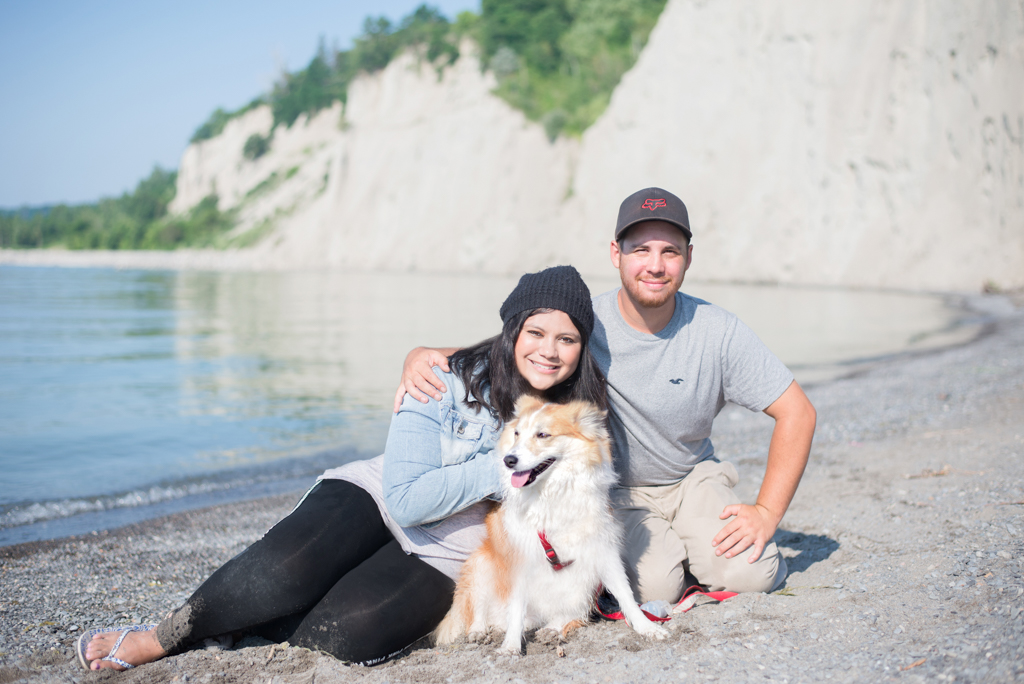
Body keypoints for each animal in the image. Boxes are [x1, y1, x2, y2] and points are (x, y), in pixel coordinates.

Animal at [434, 397, 667, 655]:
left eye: (543, 434)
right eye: (516, 433)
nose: (508, 460)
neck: (552, 492)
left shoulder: (602, 548)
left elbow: (625, 594)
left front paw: (647, 628)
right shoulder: (520, 561)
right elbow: (516, 609)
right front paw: (510, 647)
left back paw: (552, 629)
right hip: (481, 566)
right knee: (480, 610)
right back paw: (480, 631)